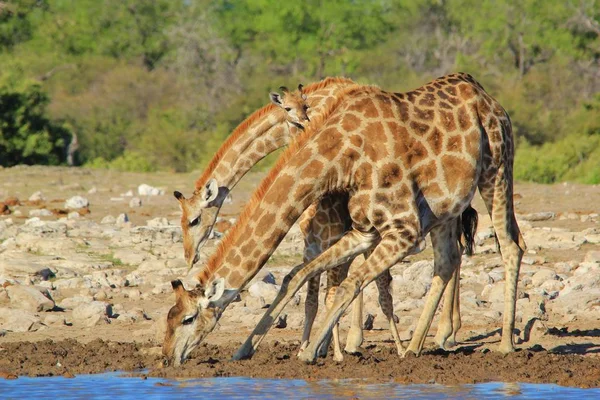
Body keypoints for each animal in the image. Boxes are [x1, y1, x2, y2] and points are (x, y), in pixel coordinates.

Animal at [162, 72, 524, 366]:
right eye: (168, 316)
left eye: (188, 319)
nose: (167, 358)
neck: (339, 156)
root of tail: (488, 98)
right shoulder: (362, 230)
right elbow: (299, 276)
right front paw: (246, 349)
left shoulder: (401, 229)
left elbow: (345, 284)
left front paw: (319, 350)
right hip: (448, 205)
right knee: (449, 259)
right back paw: (416, 347)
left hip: (496, 170)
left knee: (510, 244)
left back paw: (502, 343)